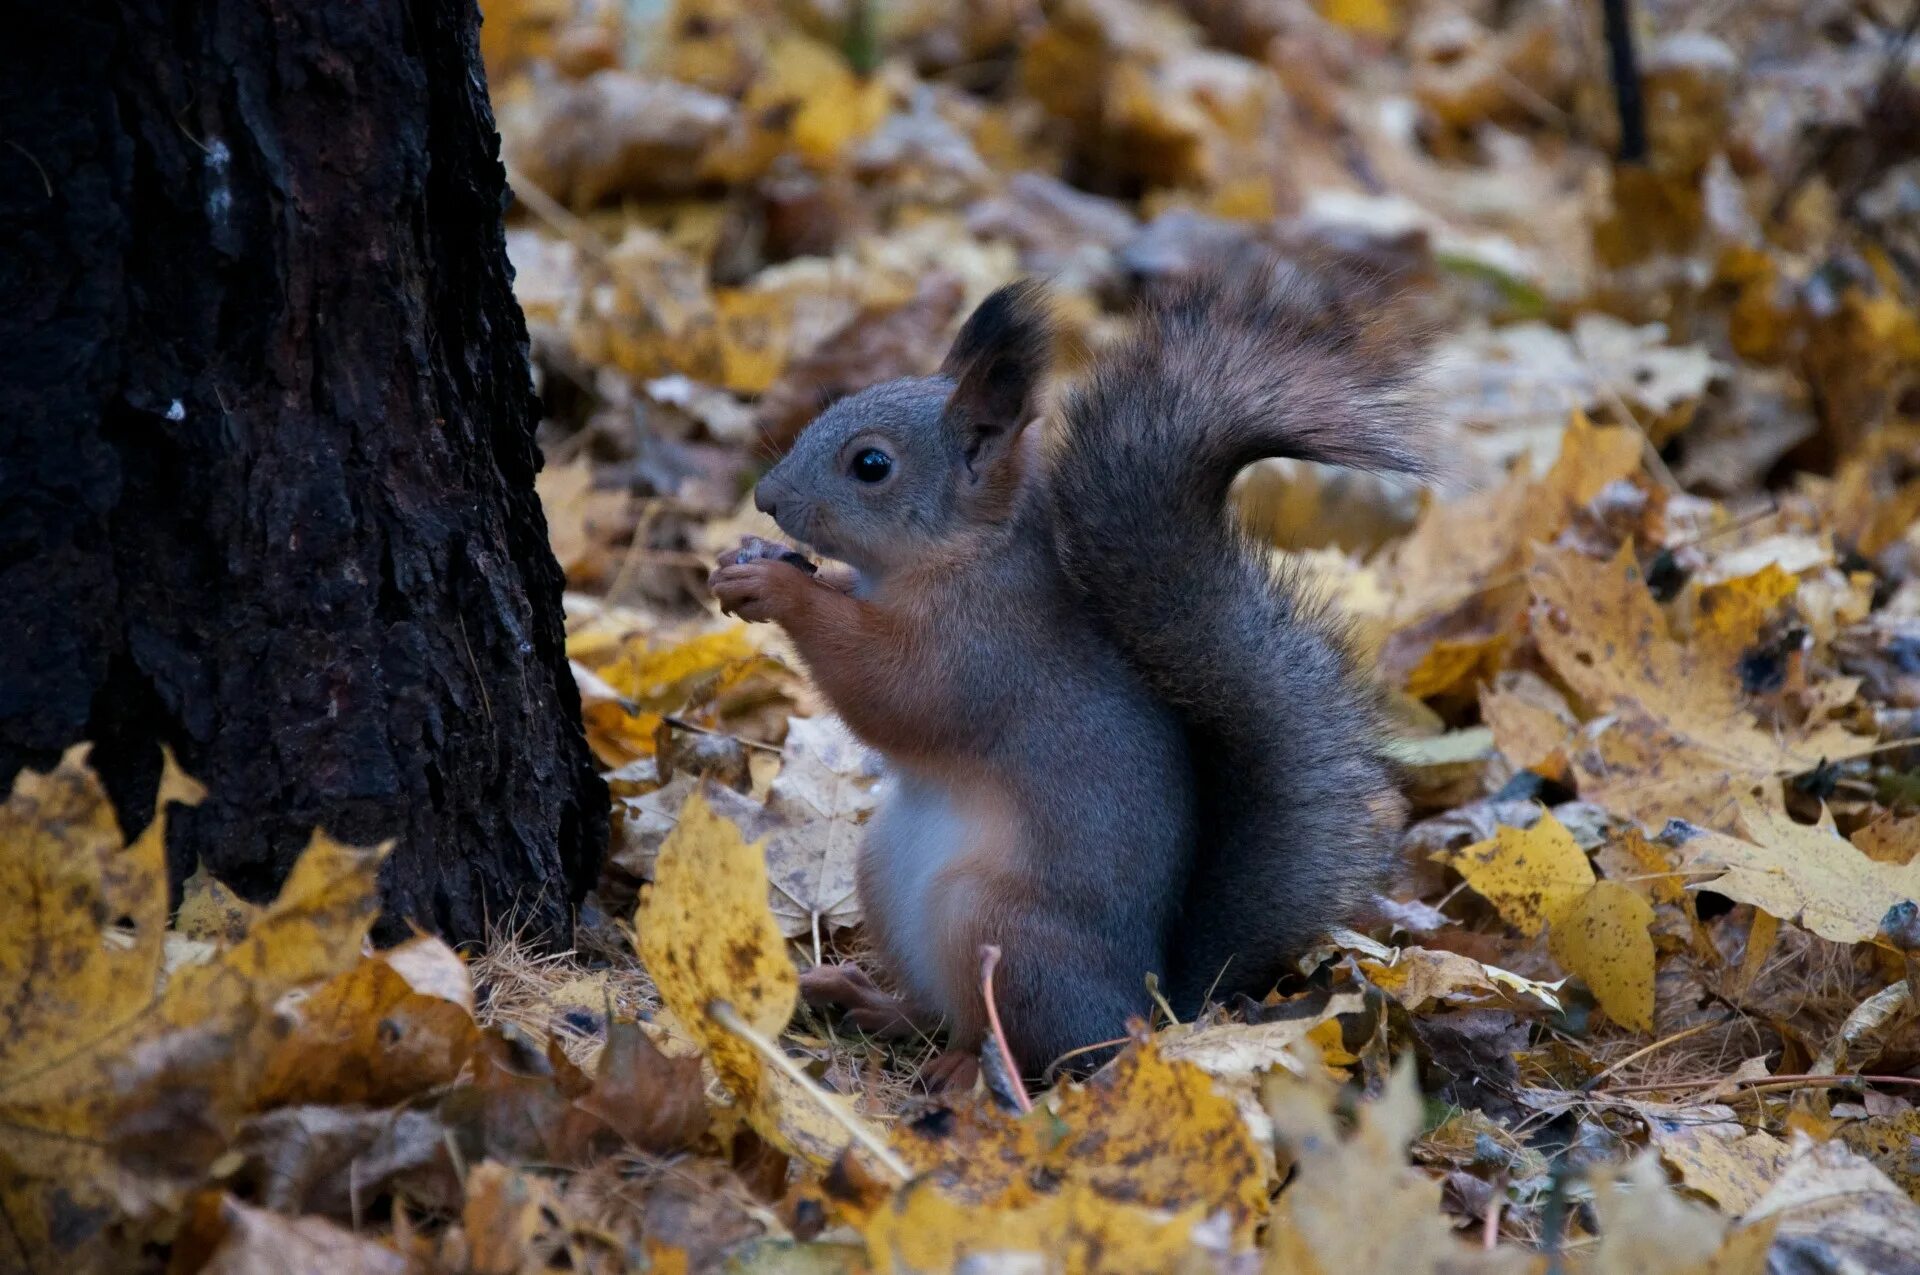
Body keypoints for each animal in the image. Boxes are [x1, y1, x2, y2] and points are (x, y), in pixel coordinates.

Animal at [714, 263, 1436, 1082]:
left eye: (871, 465)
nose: (766, 498)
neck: (964, 555)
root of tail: (1148, 1003)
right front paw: (748, 560)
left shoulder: (983, 653)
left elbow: (892, 691)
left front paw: (779, 589)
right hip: (883, 873)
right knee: (935, 1010)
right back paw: (866, 999)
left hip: (1000, 926)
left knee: (1016, 1035)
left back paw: (964, 1070)